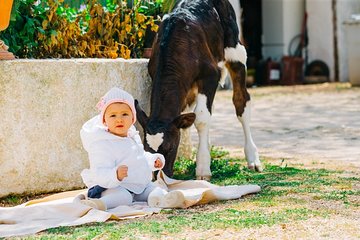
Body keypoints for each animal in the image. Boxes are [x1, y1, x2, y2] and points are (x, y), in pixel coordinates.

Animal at [136, 0, 262, 180]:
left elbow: (201, 118)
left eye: (170, 147)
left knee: (241, 102)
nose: (159, 177)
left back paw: (253, 158)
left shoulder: (210, 75)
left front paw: (202, 169)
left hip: (236, 53)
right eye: (147, 150)